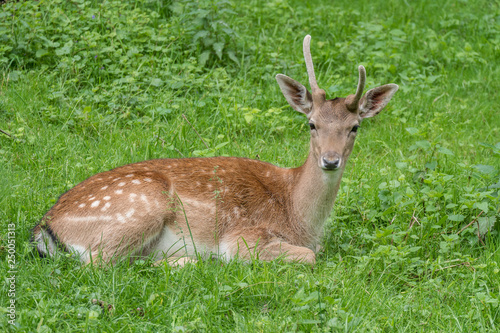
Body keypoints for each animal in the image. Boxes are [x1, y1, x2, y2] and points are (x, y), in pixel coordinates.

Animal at [31, 35, 398, 264]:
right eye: (311, 124)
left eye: (355, 127)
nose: (330, 160)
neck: (300, 218)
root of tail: (46, 228)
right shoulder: (243, 237)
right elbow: (308, 256)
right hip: (139, 209)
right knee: (100, 265)